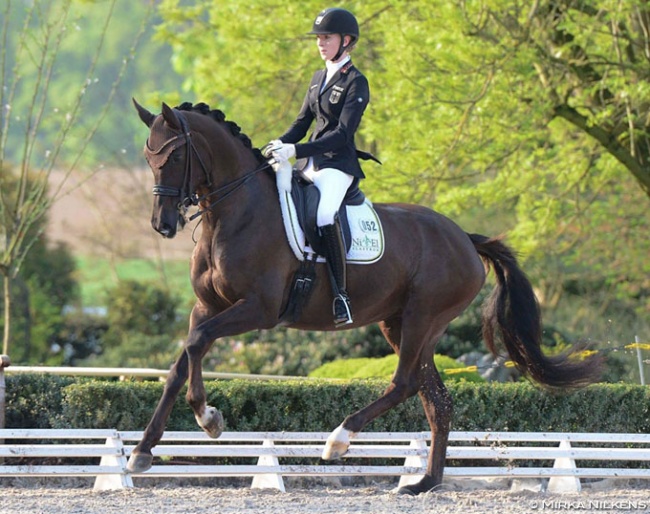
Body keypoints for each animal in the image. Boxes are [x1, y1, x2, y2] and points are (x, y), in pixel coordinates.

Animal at [126, 100, 604, 492]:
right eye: (149, 158)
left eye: (174, 156)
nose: (162, 225)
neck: (236, 213)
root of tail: (466, 239)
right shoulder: (207, 307)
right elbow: (181, 362)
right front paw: (142, 452)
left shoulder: (257, 310)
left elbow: (196, 344)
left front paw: (208, 418)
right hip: (400, 323)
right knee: (437, 400)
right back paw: (423, 483)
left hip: (422, 318)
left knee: (405, 382)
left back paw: (338, 441)